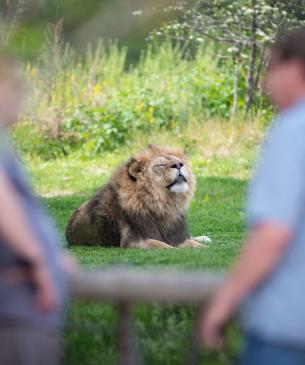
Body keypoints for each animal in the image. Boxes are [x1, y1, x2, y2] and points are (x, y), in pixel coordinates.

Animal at [64, 144, 207, 249]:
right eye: (160, 165)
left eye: (181, 162)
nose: (178, 165)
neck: (164, 204)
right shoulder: (134, 241)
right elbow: (165, 246)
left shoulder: (177, 237)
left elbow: (194, 244)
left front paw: (204, 247)